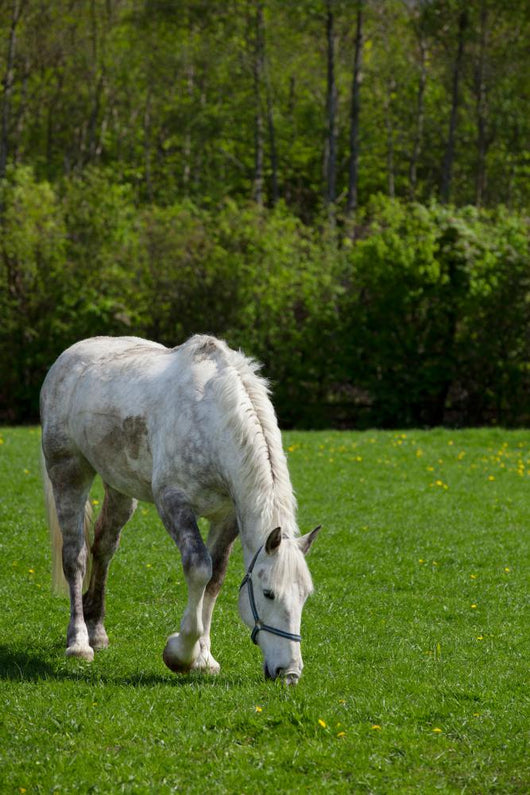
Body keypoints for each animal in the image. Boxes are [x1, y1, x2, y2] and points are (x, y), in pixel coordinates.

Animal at [40, 334, 321, 685]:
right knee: (75, 557)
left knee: (103, 548)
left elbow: (215, 580)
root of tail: (67, 357)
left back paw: (97, 631)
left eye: (305, 596)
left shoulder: (227, 518)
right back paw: (79, 642)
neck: (213, 421)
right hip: (69, 473)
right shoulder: (173, 503)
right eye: (268, 593)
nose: (289, 671)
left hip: (119, 488)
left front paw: (204, 658)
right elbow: (200, 568)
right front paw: (180, 653)